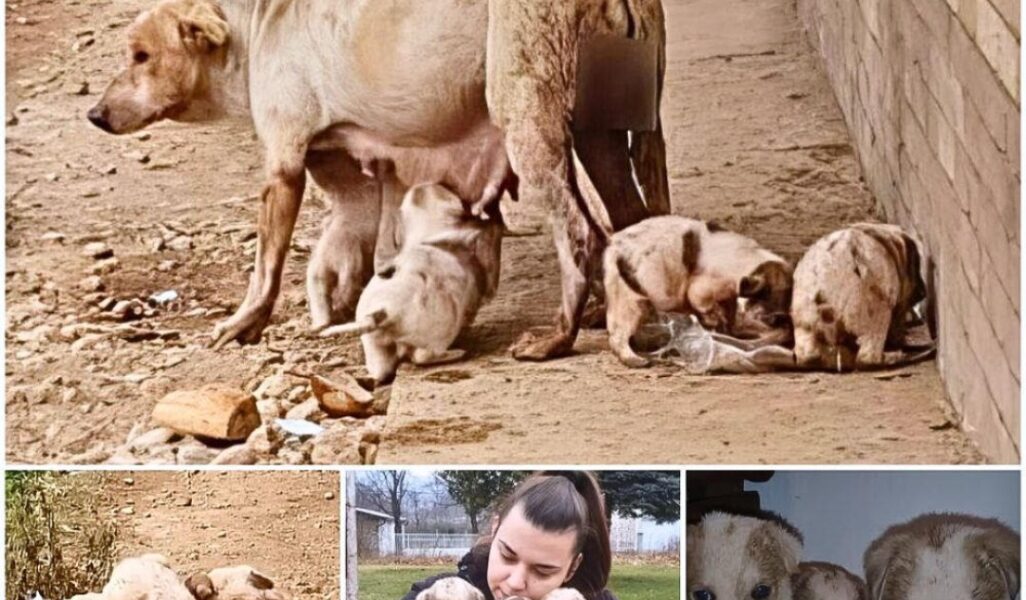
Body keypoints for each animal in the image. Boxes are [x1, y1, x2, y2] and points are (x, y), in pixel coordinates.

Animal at [86, 0, 664, 361]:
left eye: (141, 56)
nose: (94, 114)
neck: (252, 28)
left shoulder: (283, 167)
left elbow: (267, 265)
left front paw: (245, 322)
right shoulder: (353, 183)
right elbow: (343, 251)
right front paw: (337, 305)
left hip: (529, 124)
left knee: (580, 233)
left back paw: (559, 336)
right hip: (598, 134)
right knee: (630, 221)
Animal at [318, 182, 498, 385]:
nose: (426, 184)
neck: (426, 236)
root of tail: (383, 311)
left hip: (375, 347)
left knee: (380, 372)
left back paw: (363, 378)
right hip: (435, 335)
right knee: (423, 356)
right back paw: (460, 353)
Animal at [599, 215, 792, 365]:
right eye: (767, 295)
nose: (780, 317)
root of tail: (613, 247)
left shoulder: (728, 298)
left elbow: (729, 317)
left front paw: (726, 329)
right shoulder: (702, 287)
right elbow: (703, 302)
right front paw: (714, 322)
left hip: (620, 290)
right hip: (629, 297)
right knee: (619, 332)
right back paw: (638, 361)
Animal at [787, 221, 927, 369]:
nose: (923, 292)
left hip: (803, 321)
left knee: (807, 355)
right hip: (875, 310)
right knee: (868, 355)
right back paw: (898, 356)